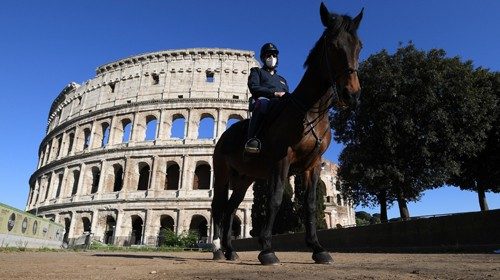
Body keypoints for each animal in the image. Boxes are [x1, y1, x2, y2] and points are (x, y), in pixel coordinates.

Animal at [211, 2, 364, 264]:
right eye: (333, 46)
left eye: (359, 46)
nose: (351, 94)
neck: (310, 111)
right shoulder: (282, 159)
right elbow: (275, 199)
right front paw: (266, 249)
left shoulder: (313, 164)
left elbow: (310, 204)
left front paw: (317, 248)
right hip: (222, 174)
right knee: (219, 208)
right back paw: (218, 250)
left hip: (244, 179)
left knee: (231, 208)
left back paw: (231, 251)